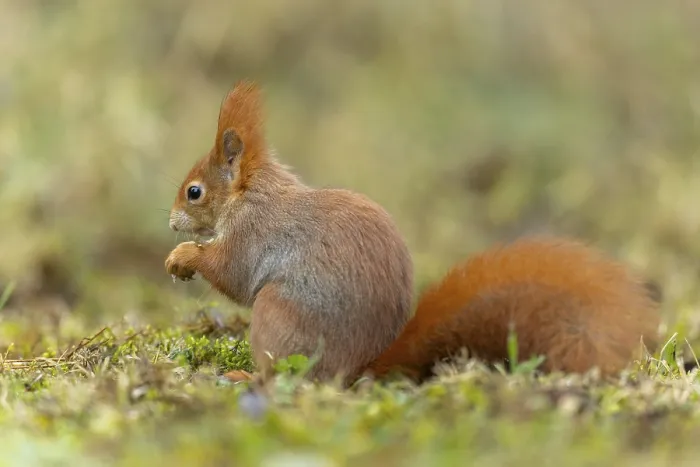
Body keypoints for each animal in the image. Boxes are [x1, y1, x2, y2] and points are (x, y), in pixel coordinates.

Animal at [165, 80, 661, 386]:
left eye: (194, 192)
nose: (170, 223)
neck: (250, 192)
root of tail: (361, 367)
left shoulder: (253, 233)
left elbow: (231, 273)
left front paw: (184, 256)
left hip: (277, 316)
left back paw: (246, 377)